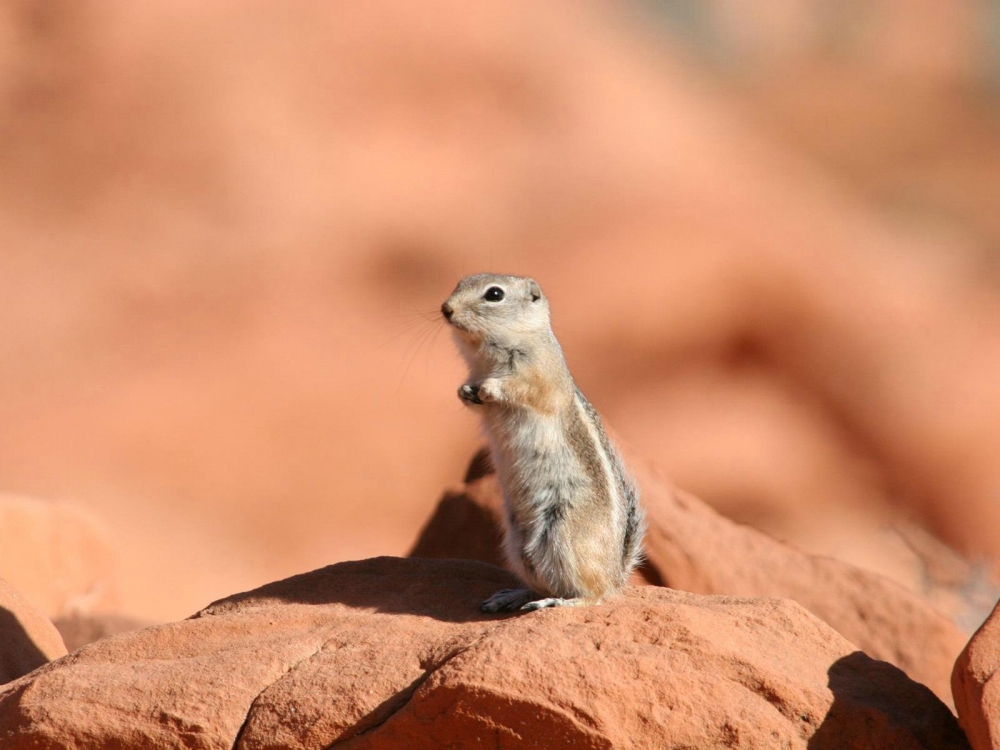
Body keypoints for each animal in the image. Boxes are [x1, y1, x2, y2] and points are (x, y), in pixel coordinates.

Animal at [442, 274, 644, 612]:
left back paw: (558, 602)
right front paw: (464, 391)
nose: (446, 309)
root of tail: (617, 573)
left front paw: (492, 387)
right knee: (540, 581)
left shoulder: (543, 379)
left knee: (593, 594)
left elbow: (526, 390)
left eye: (494, 294)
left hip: (565, 538)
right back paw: (511, 596)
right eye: (459, 283)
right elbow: (474, 399)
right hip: (518, 545)